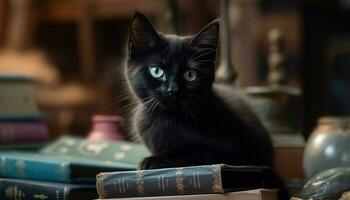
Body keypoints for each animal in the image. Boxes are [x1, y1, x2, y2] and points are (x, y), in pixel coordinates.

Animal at [125, 12, 274, 169]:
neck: (170, 118)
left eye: (190, 74)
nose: (173, 90)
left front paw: (153, 161)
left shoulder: (231, 151)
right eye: (156, 71)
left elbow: (193, 154)